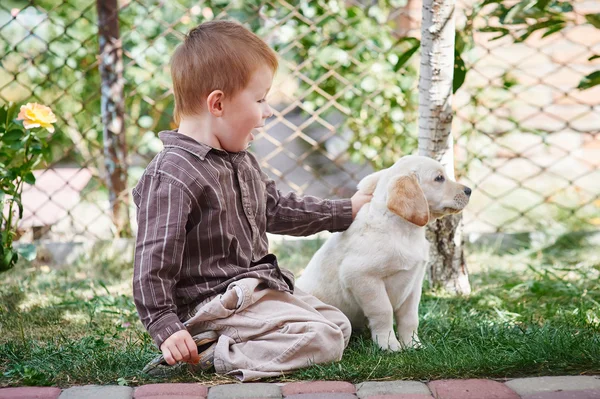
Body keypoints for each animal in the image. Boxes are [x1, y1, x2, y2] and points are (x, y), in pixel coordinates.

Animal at [298, 155, 472, 352]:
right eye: (439, 178)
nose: (469, 190)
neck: (404, 231)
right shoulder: (362, 277)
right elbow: (383, 311)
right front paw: (388, 344)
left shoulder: (414, 283)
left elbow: (410, 318)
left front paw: (412, 344)